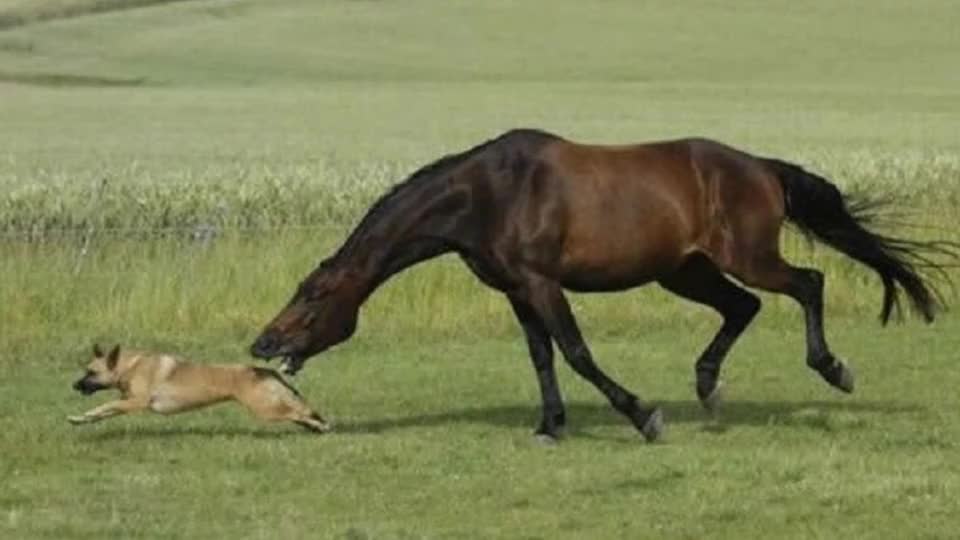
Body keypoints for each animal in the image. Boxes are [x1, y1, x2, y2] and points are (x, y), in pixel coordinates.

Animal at [67, 344, 330, 432]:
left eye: (91, 372)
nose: (74, 385)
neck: (129, 366)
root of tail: (264, 370)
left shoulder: (134, 402)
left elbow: (104, 405)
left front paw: (82, 415)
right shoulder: (126, 402)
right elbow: (102, 412)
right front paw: (81, 419)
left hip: (265, 410)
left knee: (299, 412)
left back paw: (320, 426)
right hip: (272, 405)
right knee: (299, 412)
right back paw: (315, 426)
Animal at [249, 130, 952, 442]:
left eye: (313, 296)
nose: (262, 344)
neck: (488, 194)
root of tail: (761, 168)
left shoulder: (543, 283)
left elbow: (577, 353)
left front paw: (644, 416)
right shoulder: (516, 291)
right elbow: (541, 357)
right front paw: (550, 425)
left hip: (747, 256)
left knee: (806, 283)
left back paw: (833, 369)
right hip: (685, 271)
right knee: (743, 306)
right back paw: (708, 388)